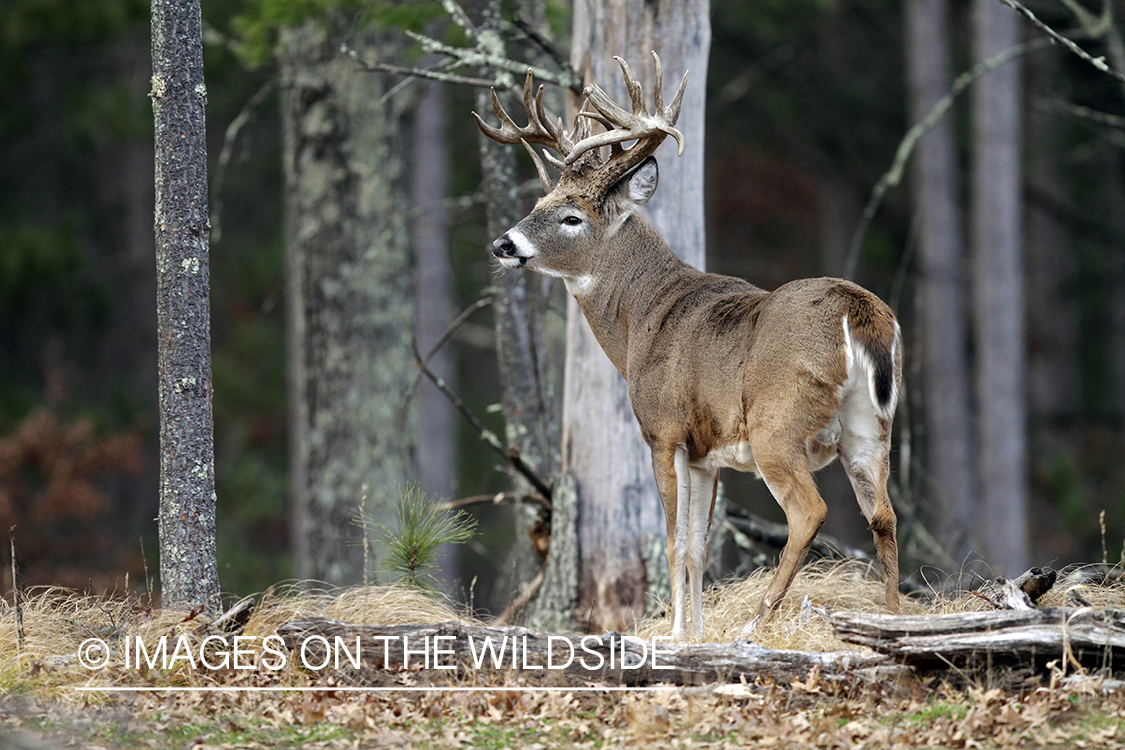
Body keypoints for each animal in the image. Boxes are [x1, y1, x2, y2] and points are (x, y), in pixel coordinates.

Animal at [474, 52, 904, 643]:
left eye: (571, 216)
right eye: (541, 199)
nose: (502, 244)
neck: (643, 320)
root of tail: (858, 311)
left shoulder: (663, 430)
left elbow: (674, 542)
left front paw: (675, 633)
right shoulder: (707, 451)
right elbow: (698, 546)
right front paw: (696, 633)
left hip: (777, 424)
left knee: (808, 512)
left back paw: (756, 622)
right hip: (870, 428)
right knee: (883, 516)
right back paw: (892, 619)